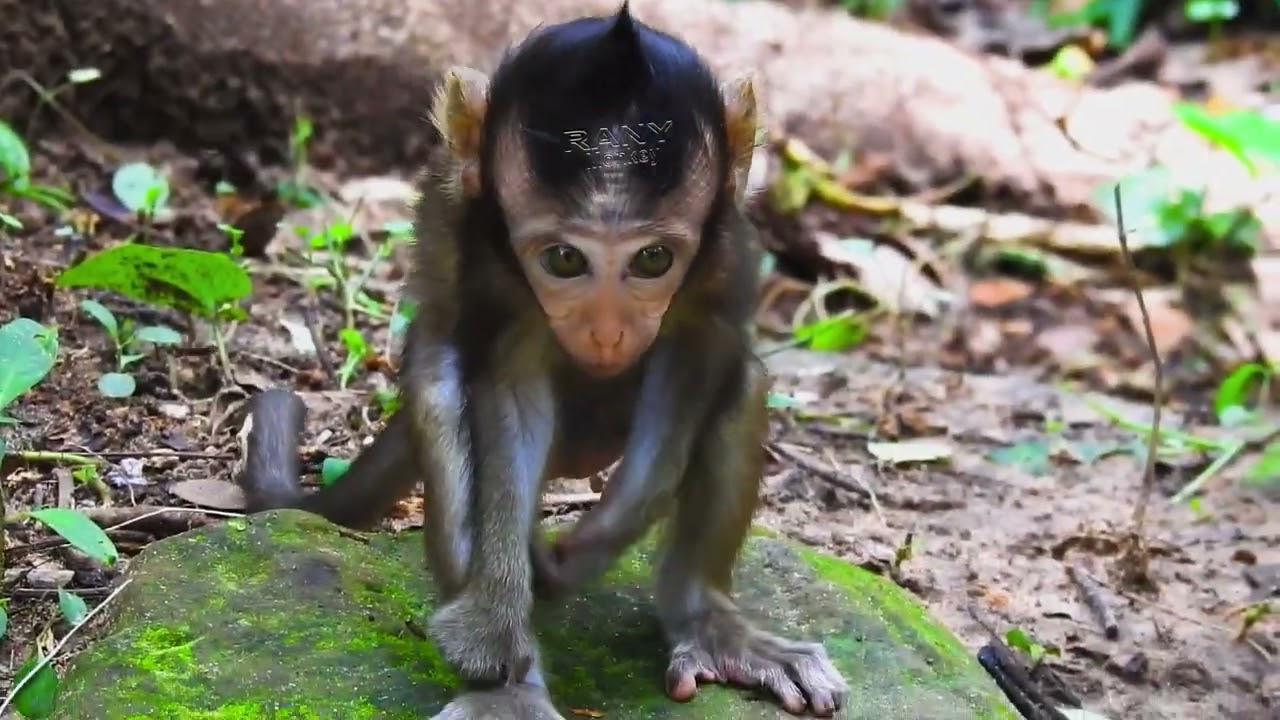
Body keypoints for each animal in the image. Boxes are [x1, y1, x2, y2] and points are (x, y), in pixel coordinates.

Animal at [236, 4, 849, 718]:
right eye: (564, 259)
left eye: (652, 260)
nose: (608, 334)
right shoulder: (496, 269)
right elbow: (509, 395)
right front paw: (501, 635)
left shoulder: (724, 253)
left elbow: (701, 353)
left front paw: (600, 536)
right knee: (442, 395)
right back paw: (511, 682)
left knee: (743, 384)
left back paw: (706, 620)